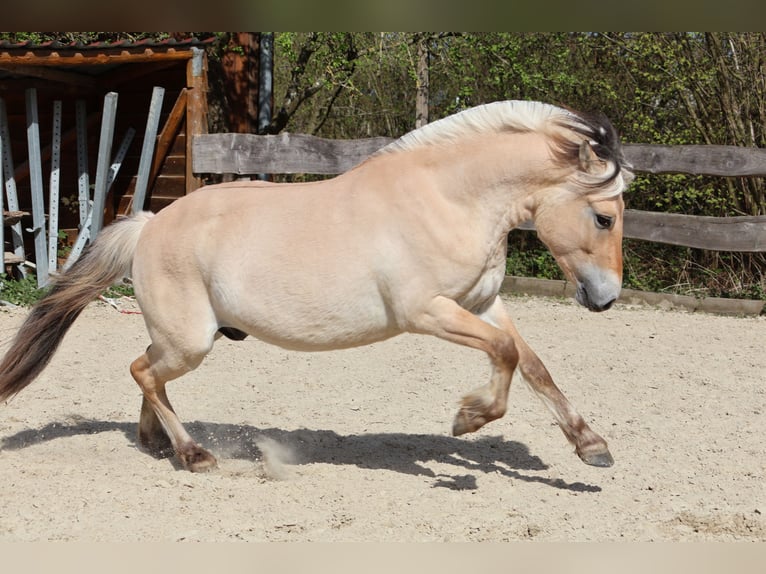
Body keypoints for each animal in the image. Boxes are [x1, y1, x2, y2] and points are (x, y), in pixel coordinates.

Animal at [0, 100, 633, 473]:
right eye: (604, 217)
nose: (605, 299)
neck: (449, 199)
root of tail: (151, 223)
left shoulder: (481, 304)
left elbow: (532, 364)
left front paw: (591, 446)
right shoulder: (426, 312)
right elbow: (504, 355)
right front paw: (467, 419)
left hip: (188, 336)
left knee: (145, 370)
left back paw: (155, 441)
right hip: (192, 341)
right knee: (143, 371)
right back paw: (193, 454)